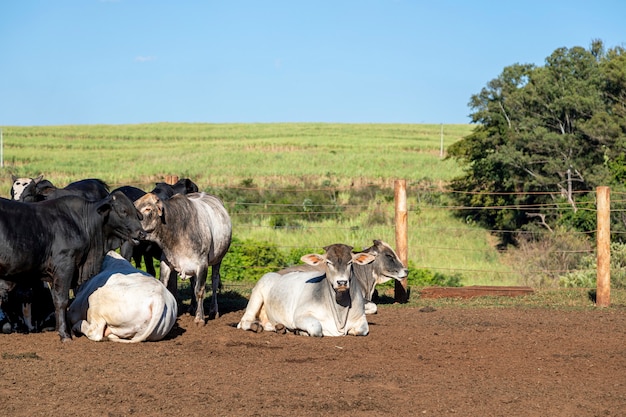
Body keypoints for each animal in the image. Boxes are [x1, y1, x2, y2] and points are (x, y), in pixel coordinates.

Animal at [0, 190, 144, 340]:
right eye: (123, 211)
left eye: (135, 212)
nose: (142, 233)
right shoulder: (64, 266)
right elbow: (61, 300)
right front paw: (65, 334)